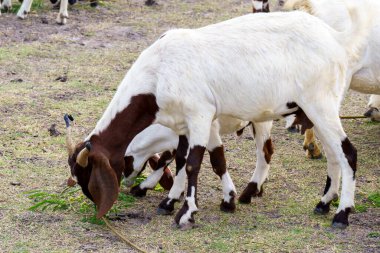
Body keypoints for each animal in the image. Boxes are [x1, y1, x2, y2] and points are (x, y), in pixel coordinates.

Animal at [64, 9, 372, 228]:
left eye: (89, 177)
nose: (96, 208)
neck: (159, 72)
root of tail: (336, 38)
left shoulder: (201, 116)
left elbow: (194, 164)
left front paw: (186, 213)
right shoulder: (183, 124)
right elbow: (185, 160)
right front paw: (173, 202)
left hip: (321, 105)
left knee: (348, 153)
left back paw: (342, 214)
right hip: (314, 111)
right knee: (333, 155)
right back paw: (324, 202)